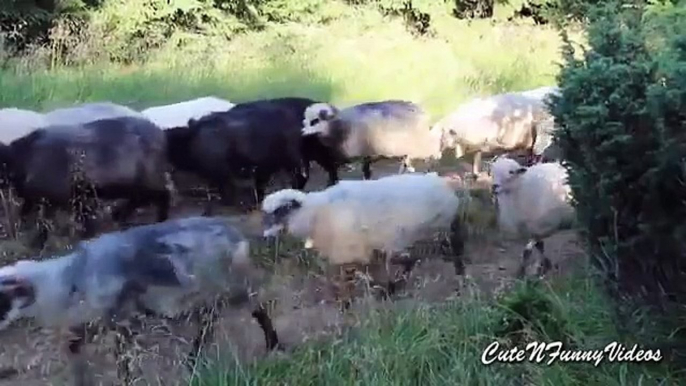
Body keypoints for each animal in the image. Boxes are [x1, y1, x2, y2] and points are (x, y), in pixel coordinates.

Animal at [0, 217, 282, 386]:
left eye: (2, 299)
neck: (69, 278)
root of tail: (236, 234)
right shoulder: (98, 319)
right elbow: (74, 347)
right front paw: (81, 378)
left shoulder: (121, 319)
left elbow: (124, 361)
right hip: (207, 294)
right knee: (210, 323)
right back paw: (193, 362)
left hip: (228, 286)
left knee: (256, 307)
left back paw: (272, 344)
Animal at [300, 100, 446, 180]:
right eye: (305, 120)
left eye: (315, 121)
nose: (301, 133)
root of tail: (421, 110)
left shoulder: (366, 152)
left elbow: (366, 171)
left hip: (418, 144)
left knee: (430, 152)